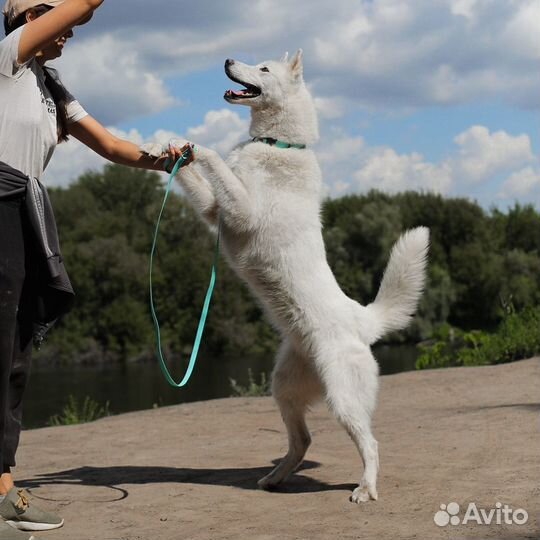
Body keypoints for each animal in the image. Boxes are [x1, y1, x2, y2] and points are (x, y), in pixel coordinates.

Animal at [144, 50, 430, 502]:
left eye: (263, 68)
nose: (227, 58)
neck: (277, 144)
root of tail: (362, 319)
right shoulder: (214, 213)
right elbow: (196, 176)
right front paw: (168, 147)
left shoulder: (242, 212)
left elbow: (216, 162)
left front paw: (197, 147)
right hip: (284, 388)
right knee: (303, 441)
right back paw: (275, 477)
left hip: (343, 400)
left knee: (370, 443)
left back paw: (365, 488)